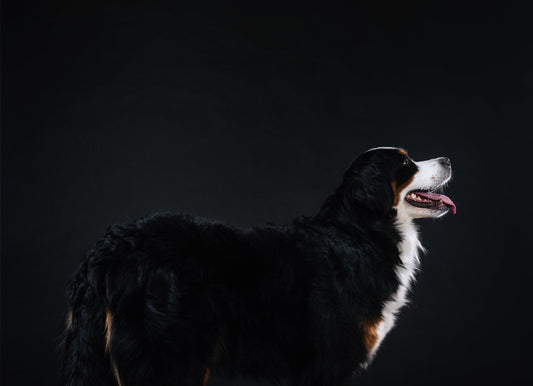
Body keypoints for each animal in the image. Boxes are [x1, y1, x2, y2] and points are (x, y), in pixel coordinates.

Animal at [60, 146, 456, 384]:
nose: (448, 160)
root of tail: (112, 245)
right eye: (405, 163)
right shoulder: (331, 360)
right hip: (172, 359)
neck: (361, 232)